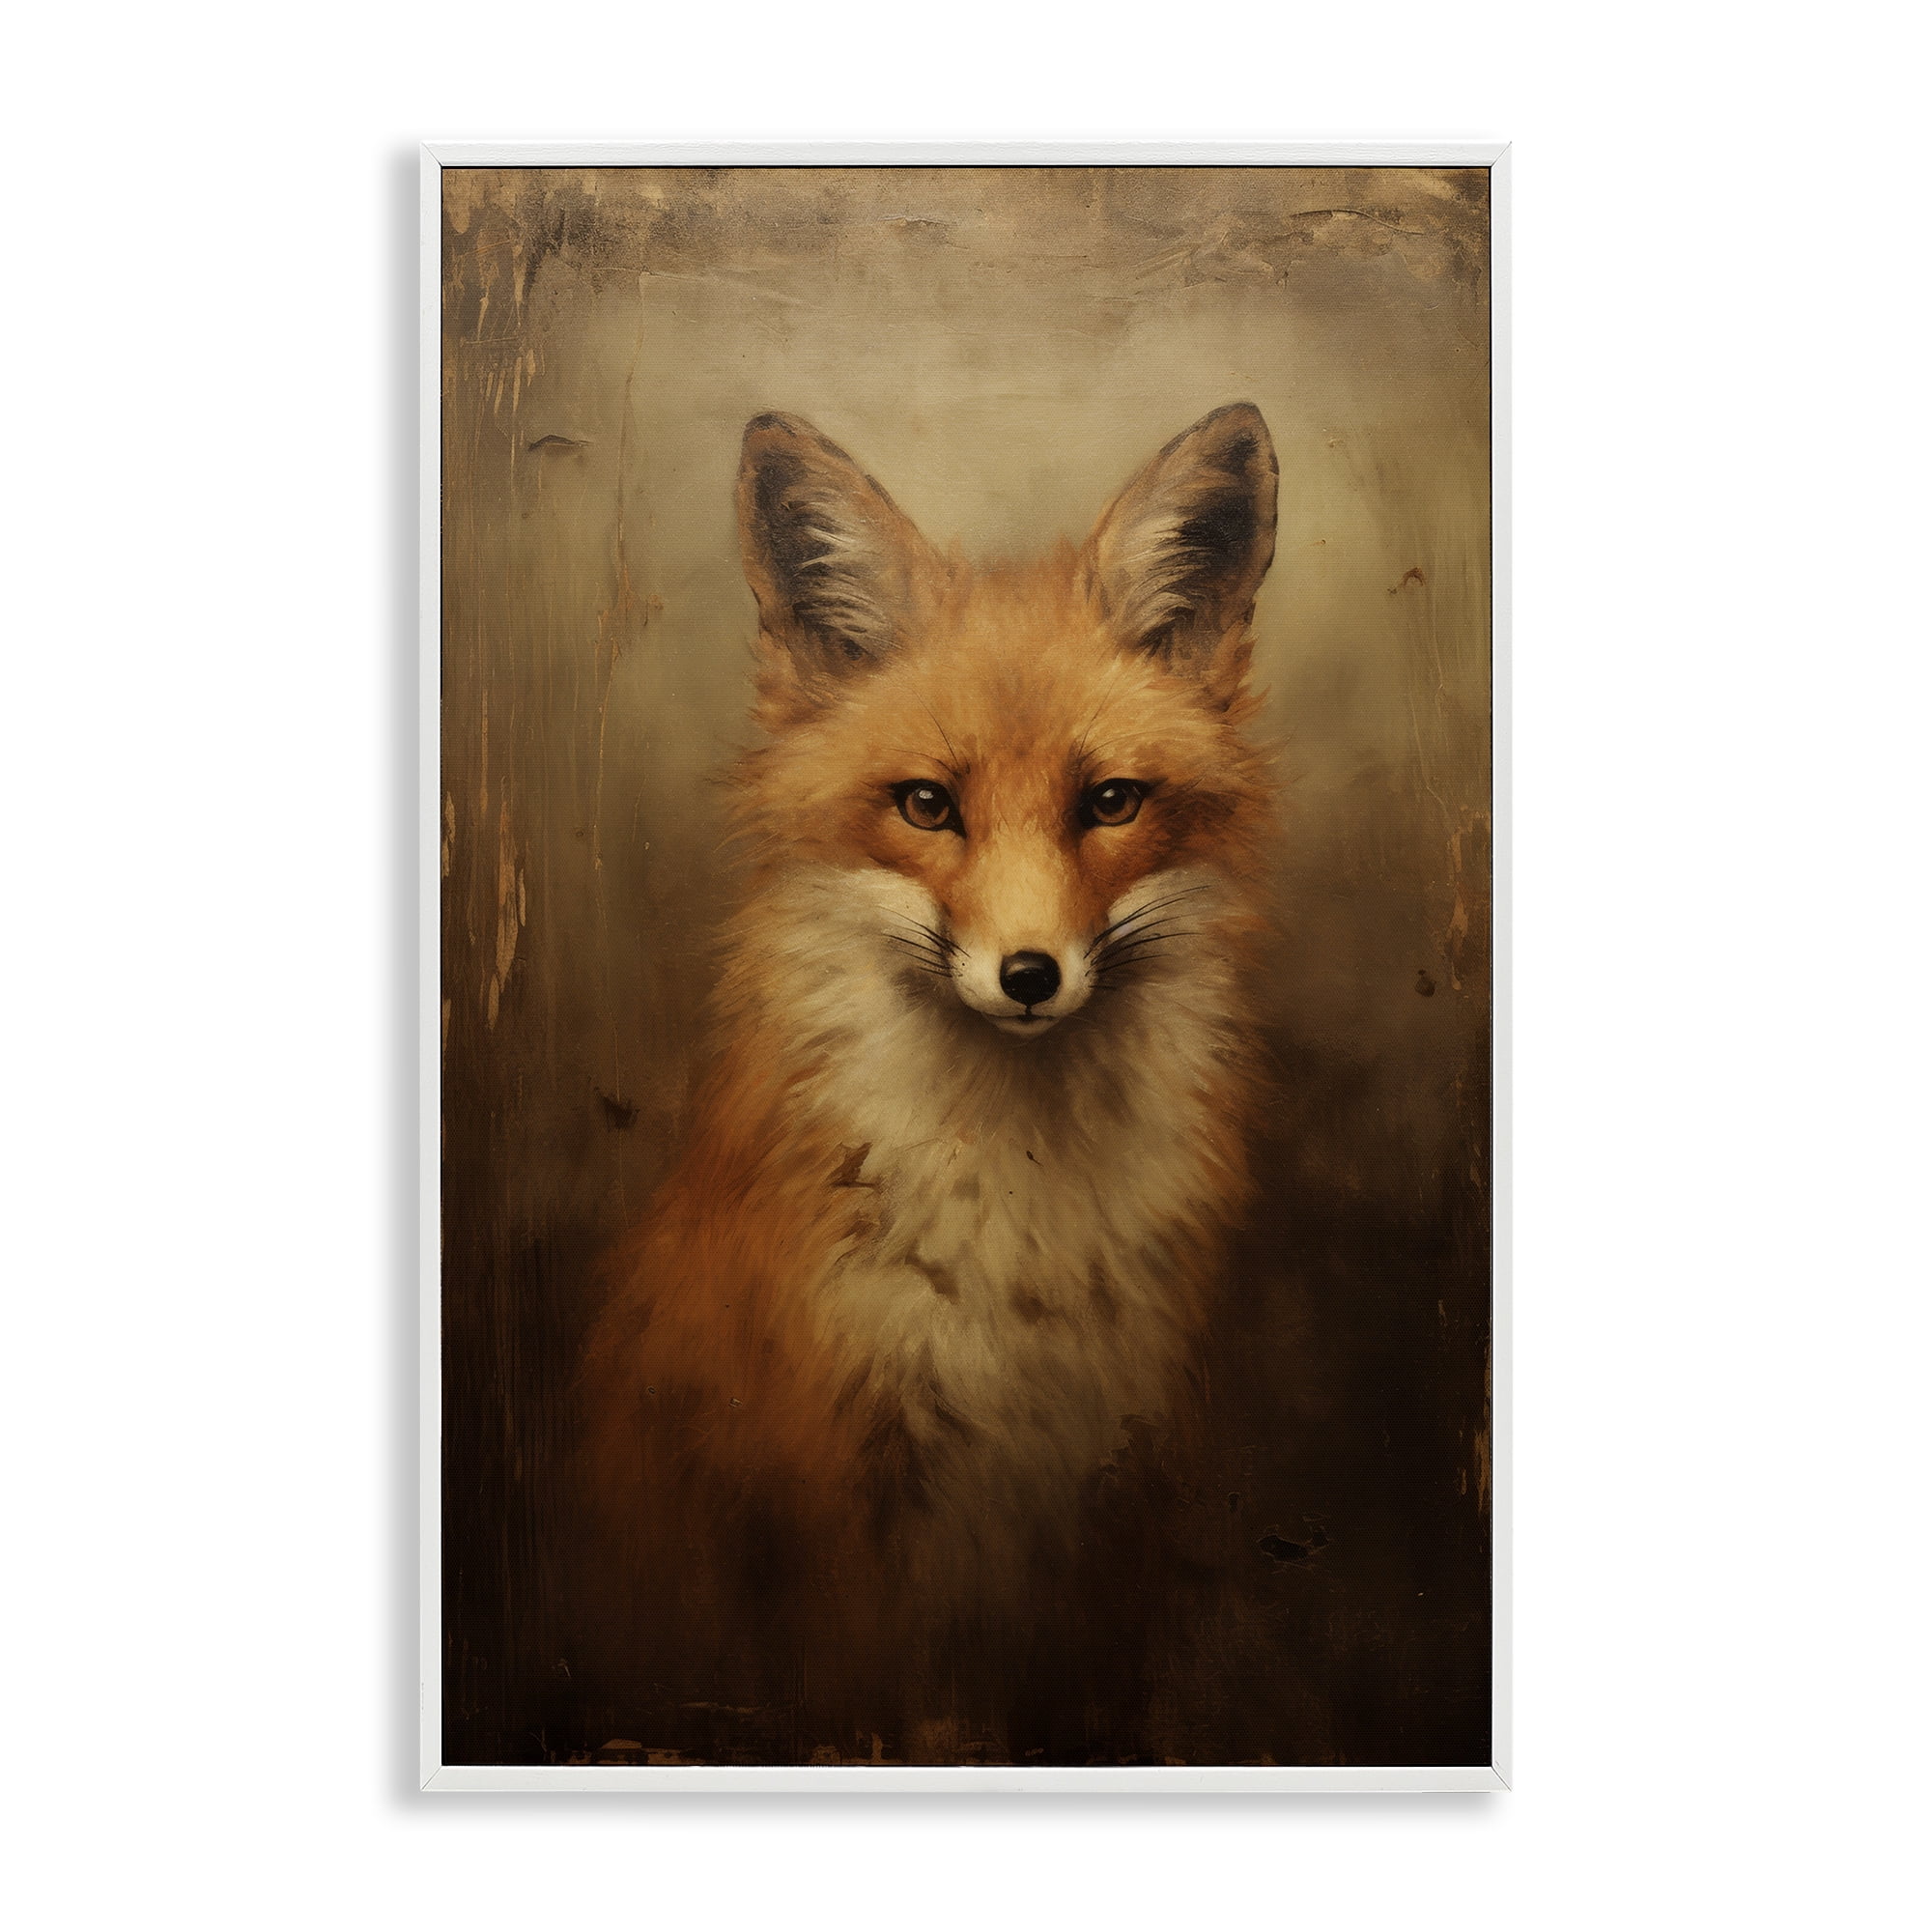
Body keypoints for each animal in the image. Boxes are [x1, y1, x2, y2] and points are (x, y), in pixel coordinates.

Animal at [580, 403, 1281, 1735]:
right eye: (924, 805)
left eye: (1109, 801)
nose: (1028, 974)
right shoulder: (833, 1478)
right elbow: (881, 1711)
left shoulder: (1120, 1469)